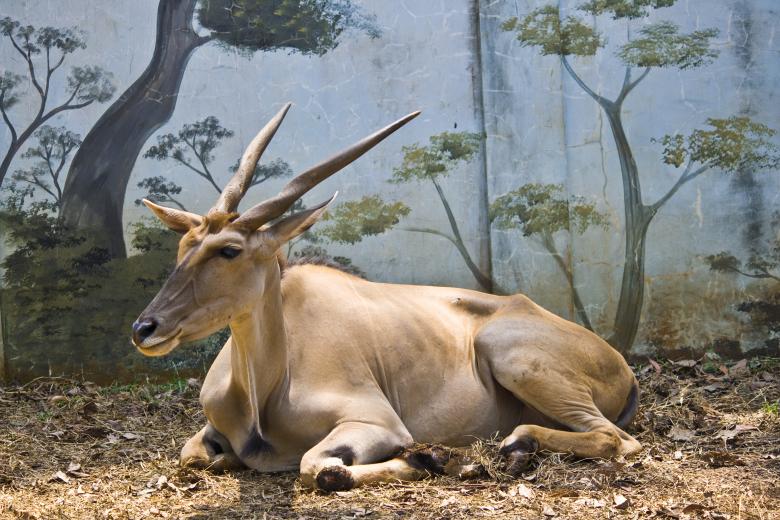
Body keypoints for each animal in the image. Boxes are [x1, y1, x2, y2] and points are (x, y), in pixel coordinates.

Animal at [131, 104, 642, 492]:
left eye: (229, 250)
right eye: (183, 246)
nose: (145, 328)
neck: (267, 387)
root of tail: (621, 365)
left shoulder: (377, 422)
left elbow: (319, 468)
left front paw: (438, 459)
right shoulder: (210, 434)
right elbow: (195, 456)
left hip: (509, 353)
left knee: (617, 439)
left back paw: (515, 446)